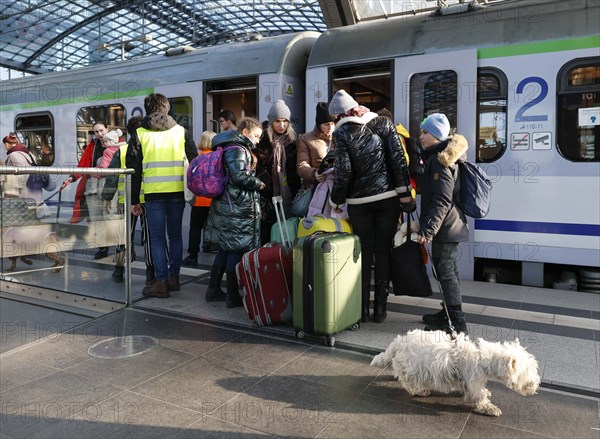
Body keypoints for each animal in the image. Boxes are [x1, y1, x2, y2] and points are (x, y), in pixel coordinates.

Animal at [372, 330, 540, 416]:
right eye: (528, 371)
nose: (536, 383)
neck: (484, 358)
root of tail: (398, 342)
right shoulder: (473, 381)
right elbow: (479, 396)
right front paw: (490, 408)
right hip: (413, 367)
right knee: (408, 381)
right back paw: (420, 390)